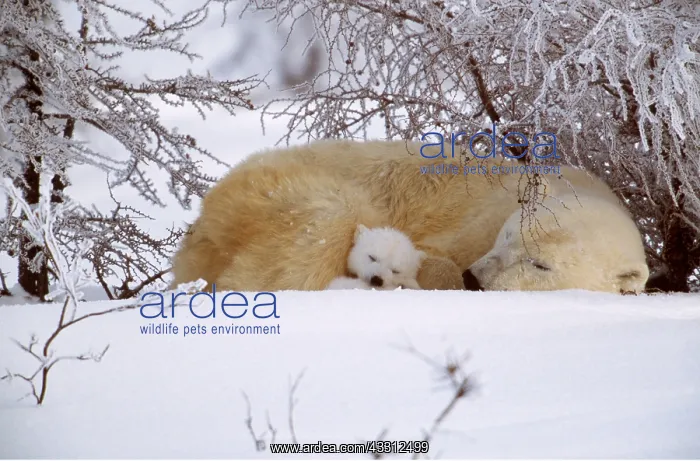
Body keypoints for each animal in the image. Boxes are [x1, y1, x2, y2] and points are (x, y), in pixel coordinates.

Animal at [169, 139, 650, 293]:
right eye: (508, 235)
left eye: (541, 264)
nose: (476, 279)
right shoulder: (475, 222)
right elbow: (433, 255)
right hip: (279, 190)